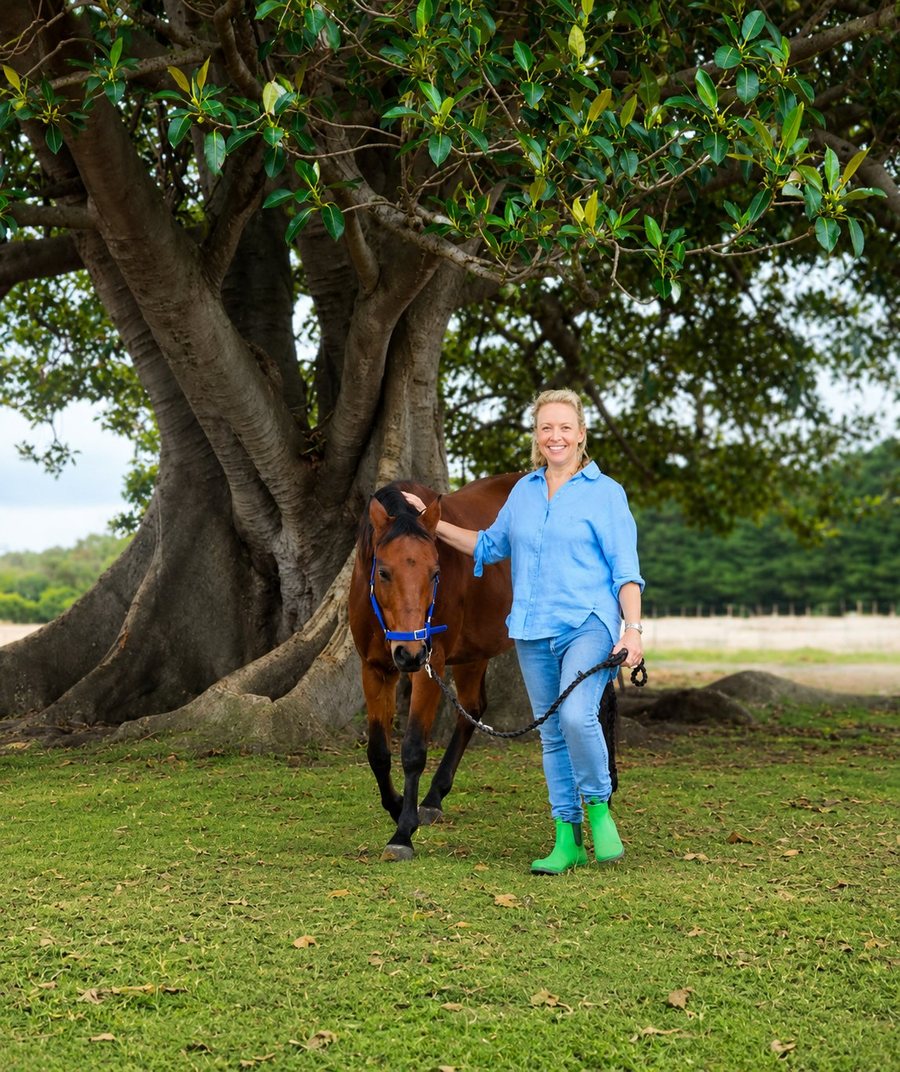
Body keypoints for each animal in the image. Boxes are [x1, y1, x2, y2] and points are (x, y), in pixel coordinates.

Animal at [349, 473, 520, 861]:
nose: (410, 652)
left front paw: (402, 833)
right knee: (472, 709)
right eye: (384, 572)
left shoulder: (431, 665)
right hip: (473, 653)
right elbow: (378, 752)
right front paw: (399, 806)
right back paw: (433, 798)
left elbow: (413, 749)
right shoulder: (374, 669)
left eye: (436, 572)